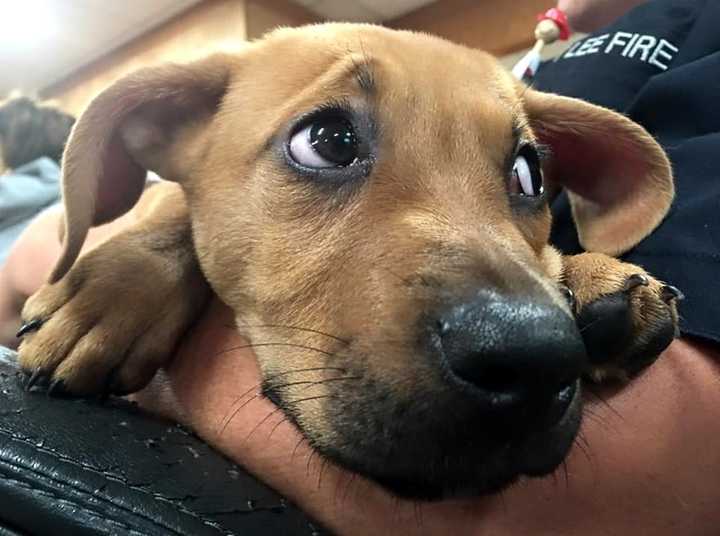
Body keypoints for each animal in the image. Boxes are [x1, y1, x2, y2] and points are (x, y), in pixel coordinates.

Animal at [18, 25, 680, 500]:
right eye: (329, 141)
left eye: (529, 174)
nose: (534, 359)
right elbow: (174, 201)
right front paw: (111, 291)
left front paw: (585, 276)